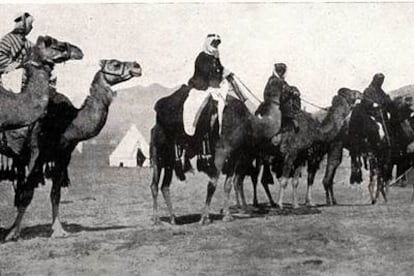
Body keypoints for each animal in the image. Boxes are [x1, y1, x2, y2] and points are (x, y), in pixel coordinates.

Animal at [2, 59, 142, 240]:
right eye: (115, 64)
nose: (137, 66)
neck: (69, 123)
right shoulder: (36, 154)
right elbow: (27, 193)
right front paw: (13, 232)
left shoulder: (63, 155)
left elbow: (55, 194)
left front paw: (58, 230)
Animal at [150, 76, 284, 225]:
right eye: (284, 85)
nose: (294, 90)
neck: (249, 123)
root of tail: (156, 123)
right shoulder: (221, 151)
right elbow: (212, 183)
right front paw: (204, 218)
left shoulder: (234, 156)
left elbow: (228, 185)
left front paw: (227, 215)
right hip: (157, 153)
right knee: (154, 184)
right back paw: (156, 218)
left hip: (170, 159)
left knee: (164, 186)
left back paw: (173, 218)